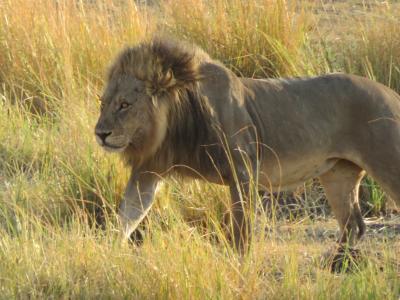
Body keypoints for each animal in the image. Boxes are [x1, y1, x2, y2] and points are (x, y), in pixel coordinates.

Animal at [96, 37, 400, 253]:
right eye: (103, 103)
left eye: (124, 105)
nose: (100, 134)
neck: (175, 122)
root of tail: (391, 94)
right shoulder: (149, 170)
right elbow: (128, 215)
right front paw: (110, 253)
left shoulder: (243, 171)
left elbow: (242, 230)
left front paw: (237, 263)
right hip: (337, 174)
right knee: (353, 226)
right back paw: (334, 266)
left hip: (387, 163)